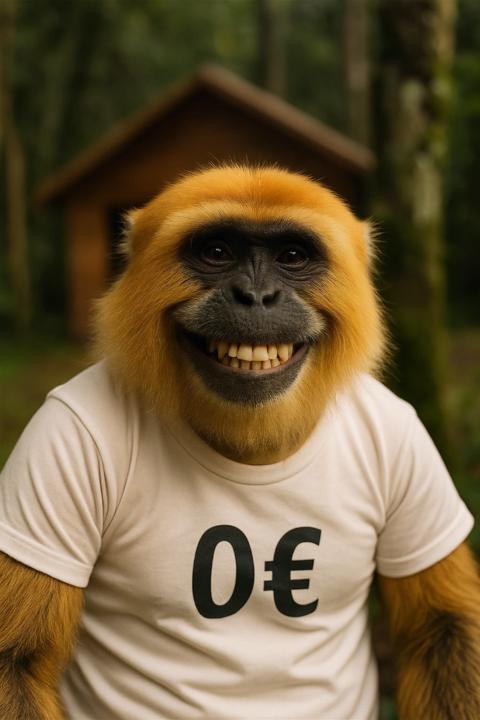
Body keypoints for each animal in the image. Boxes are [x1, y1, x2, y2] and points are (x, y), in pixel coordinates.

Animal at [0, 165, 478, 719]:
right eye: (217, 252)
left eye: (291, 256)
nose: (255, 296)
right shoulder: (61, 434)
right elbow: (17, 662)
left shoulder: (405, 435)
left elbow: (440, 628)